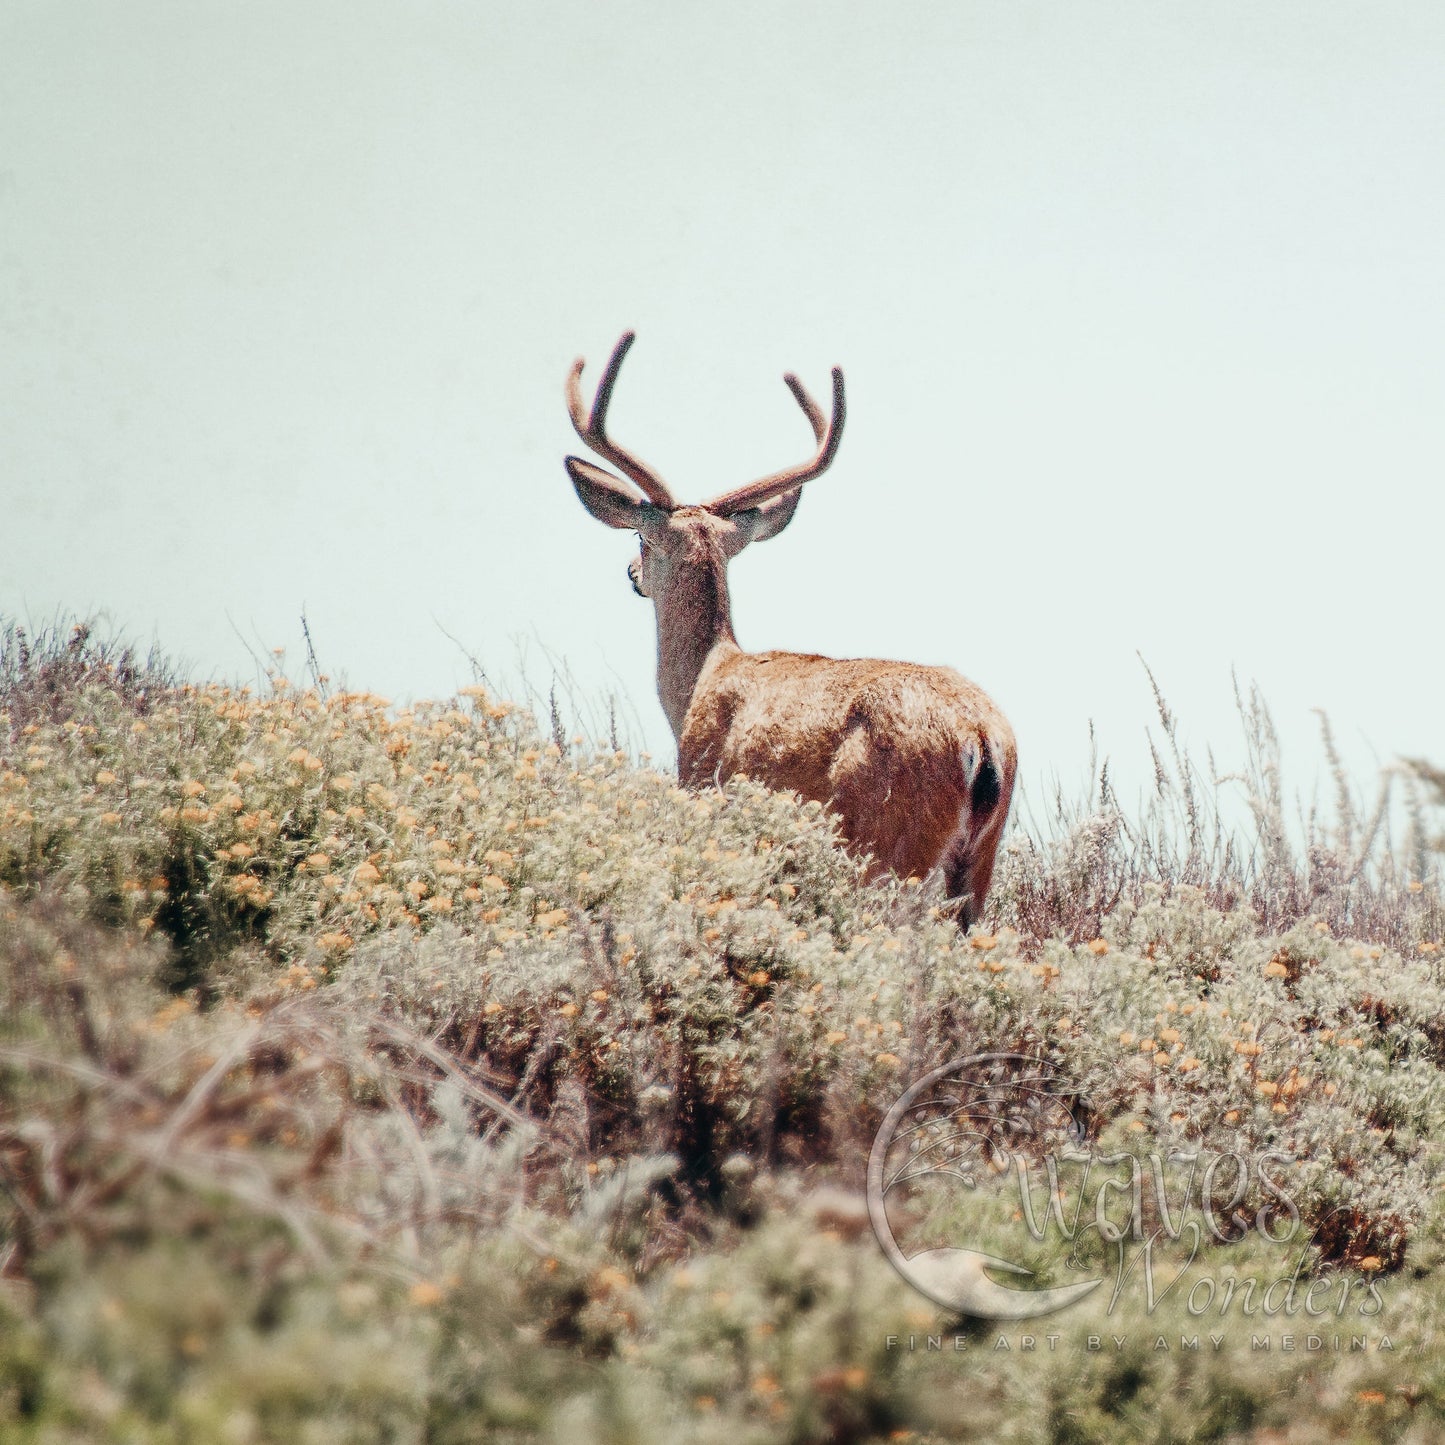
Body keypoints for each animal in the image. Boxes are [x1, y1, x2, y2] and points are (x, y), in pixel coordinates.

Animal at [563, 332, 1017, 924]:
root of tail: (981, 738)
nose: (630, 573)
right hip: (978, 864)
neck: (700, 681)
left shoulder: (700, 783)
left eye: (641, 538)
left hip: (892, 849)